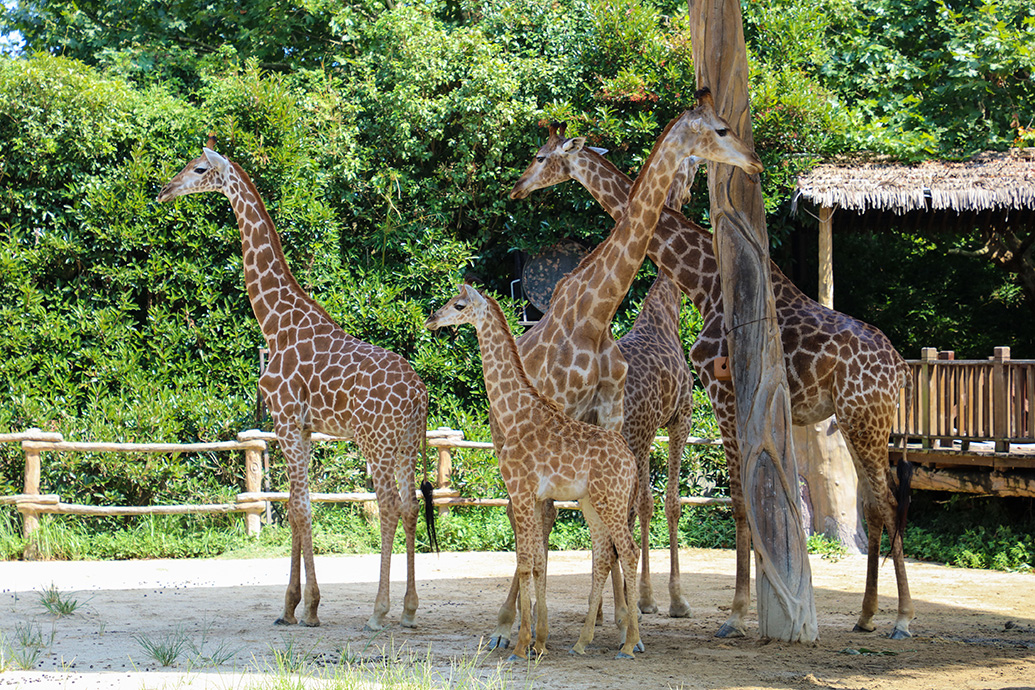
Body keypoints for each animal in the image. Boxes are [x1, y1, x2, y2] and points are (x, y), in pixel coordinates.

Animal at [156, 138, 436, 633]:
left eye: (199, 168)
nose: (164, 190)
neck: (274, 324)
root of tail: (420, 394)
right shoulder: (302, 429)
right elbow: (295, 506)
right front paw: (292, 606)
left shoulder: (286, 422)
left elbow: (299, 509)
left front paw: (306, 607)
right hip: (404, 443)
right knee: (409, 507)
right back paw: (408, 608)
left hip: (376, 441)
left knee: (386, 505)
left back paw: (378, 611)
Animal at [424, 283, 641, 662]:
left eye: (459, 304)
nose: (432, 319)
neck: (515, 413)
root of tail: (629, 459)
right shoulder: (533, 496)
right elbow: (538, 560)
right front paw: (538, 641)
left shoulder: (521, 490)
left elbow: (526, 560)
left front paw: (521, 645)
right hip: (591, 502)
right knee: (603, 554)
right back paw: (582, 642)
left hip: (611, 499)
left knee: (627, 551)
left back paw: (629, 645)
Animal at [488, 87, 765, 649]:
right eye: (721, 130)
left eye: (540, 157)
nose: (755, 162)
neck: (596, 315)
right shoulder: (565, 413)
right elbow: (554, 517)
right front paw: (533, 626)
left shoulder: (612, 419)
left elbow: (614, 519)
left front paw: (621, 621)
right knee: (524, 511)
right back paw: (510, 625)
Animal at [509, 117, 914, 637]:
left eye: (541, 157)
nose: (518, 187)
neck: (703, 284)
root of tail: (901, 369)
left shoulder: (721, 394)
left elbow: (740, 502)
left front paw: (737, 614)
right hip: (854, 422)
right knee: (876, 504)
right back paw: (866, 614)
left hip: (865, 418)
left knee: (886, 503)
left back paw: (902, 618)